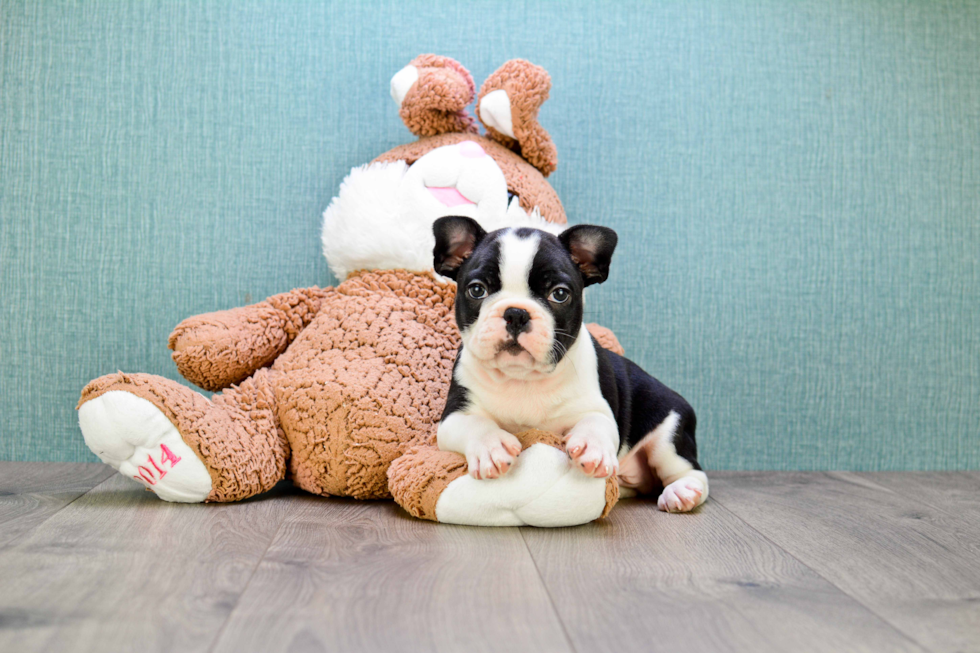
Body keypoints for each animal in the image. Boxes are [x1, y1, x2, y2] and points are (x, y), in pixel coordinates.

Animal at [432, 216, 708, 512]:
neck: (522, 378)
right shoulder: (454, 415)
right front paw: (491, 447)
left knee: (690, 470)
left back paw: (683, 491)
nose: (516, 313)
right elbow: (476, 425)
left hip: (669, 433)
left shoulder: (596, 407)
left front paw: (591, 446)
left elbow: (595, 422)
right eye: (476, 290)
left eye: (560, 294)